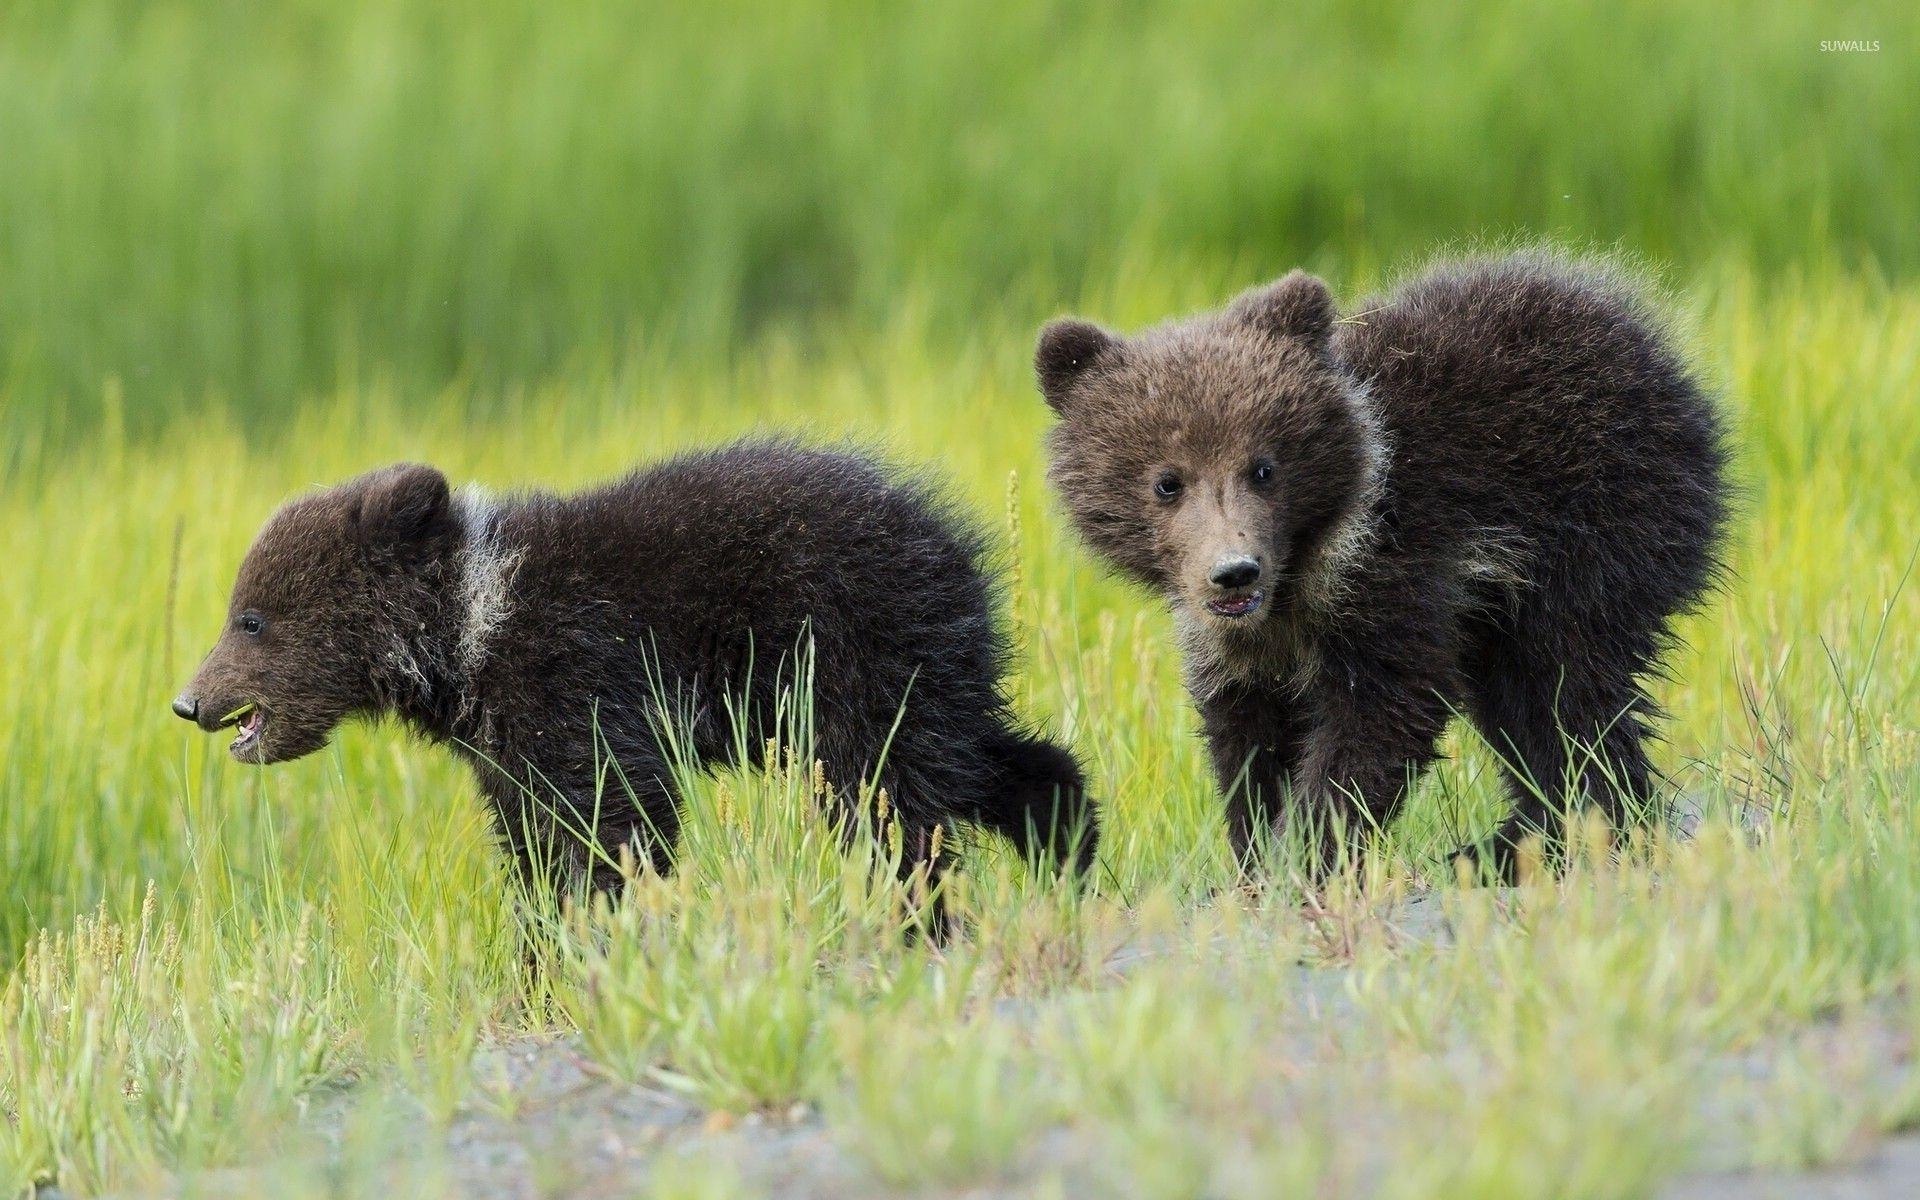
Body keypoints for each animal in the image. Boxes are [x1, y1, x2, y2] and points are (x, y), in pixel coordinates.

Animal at [171, 441, 1096, 902]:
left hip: (852, 658)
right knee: (971, 759)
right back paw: (1070, 852)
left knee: (889, 796)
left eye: (249, 618)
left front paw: (603, 931)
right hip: (920, 672)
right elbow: (534, 838)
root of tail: (954, 544)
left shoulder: (572, 678)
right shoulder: (504, 744)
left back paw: (920, 911)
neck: (470, 628)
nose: (188, 701)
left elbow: (612, 820)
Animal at [1034, 250, 1729, 879]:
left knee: (1564, 685)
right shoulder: (1239, 649)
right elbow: (1248, 738)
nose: (1234, 570)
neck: (1303, 573)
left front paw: (1303, 856)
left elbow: (1380, 714)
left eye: (1263, 466)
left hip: (1595, 525)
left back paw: (1550, 840)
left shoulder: (1395, 574)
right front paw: (1253, 853)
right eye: (1167, 482)